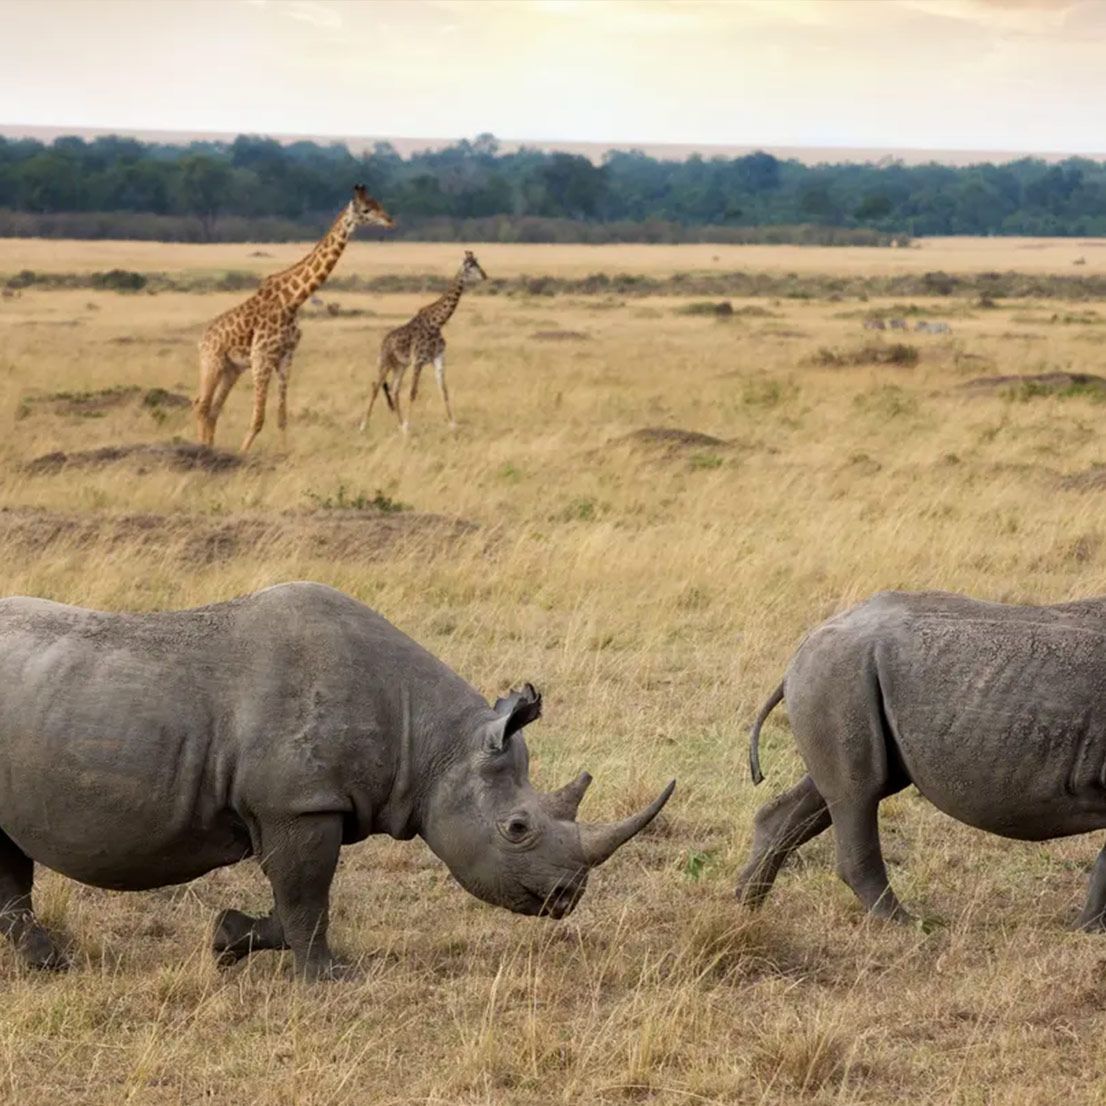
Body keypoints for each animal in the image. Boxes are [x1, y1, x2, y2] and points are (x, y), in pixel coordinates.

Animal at [0, 582, 674, 979]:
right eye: (516, 828)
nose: (567, 897)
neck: (433, 741)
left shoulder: (298, 806)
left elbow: (294, 900)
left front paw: (226, 940)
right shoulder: (299, 804)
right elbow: (307, 897)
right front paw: (328, 977)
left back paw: (46, 964)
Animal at [194, 185, 394, 452]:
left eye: (377, 203)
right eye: (366, 210)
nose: (390, 220)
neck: (292, 300)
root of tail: (203, 339)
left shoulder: (286, 357)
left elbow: (281, 417)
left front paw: (284, 453)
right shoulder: (261, 357)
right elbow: (258, 419)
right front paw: (244, 454)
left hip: (231, 369)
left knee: (213, 409)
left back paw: (209, 448)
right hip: (212, 362)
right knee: (201, 405)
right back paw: (201, 448)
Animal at [360, 250, 487, 435]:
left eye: (478, 263)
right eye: (469, 266)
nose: (484, 276)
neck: (437, 323)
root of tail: (383, 342)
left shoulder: (438, 358)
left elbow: (444, 391)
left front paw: (453, 425)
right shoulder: (418, 360)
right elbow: (413, 392)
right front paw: (408, 426)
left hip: (400, 365)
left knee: (394, 389)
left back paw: (399, 425)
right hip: (385, 362)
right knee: (376, 387)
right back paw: (364, 425)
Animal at [737, 590, 1106, 929]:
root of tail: (800, 651)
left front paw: (1086, 930)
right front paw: (1087, 931)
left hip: (838, 677)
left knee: (834, 792)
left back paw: (746, 906)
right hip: (839, 674)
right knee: (858, 794)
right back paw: (907, 926)